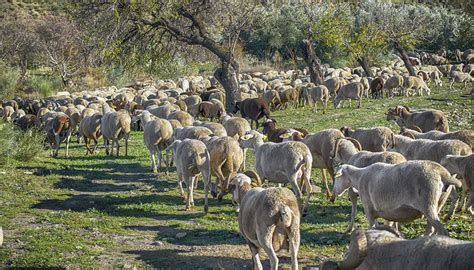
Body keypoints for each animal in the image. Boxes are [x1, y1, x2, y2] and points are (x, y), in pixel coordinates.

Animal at [332, 161, 462, 235]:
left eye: (336, 177)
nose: (334, 192)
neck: (359, 177)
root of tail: (442, 173)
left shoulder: (368, 208)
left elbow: (372, 227)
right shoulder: (386, 212)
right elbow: (387, 225)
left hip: (428, 203)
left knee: (442, 231)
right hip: (439, 202)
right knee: (431, 230)